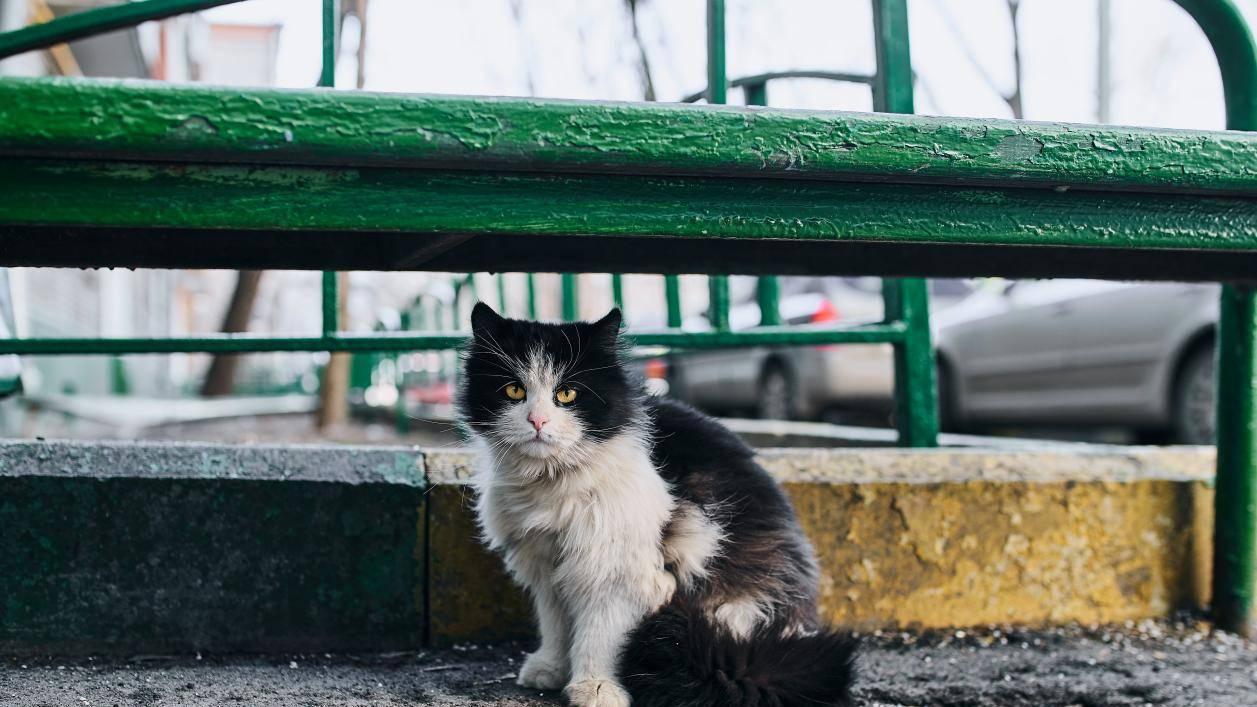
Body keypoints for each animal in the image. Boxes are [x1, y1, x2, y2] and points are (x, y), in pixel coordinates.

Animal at [457, 303, 859, 704]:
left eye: (567, 394)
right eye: (514, 390)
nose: (537, 421)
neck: (551, 483)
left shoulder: (619, 569)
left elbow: (600, 634)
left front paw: (596, 687)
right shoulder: (545, 562)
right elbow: (556, 624)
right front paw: (551, 669)